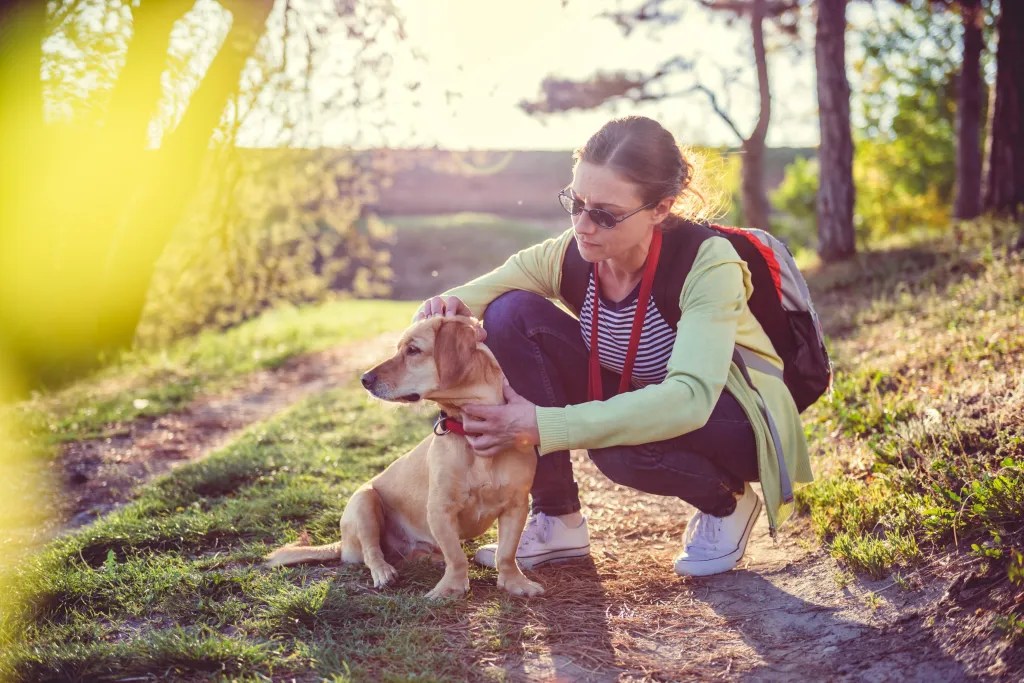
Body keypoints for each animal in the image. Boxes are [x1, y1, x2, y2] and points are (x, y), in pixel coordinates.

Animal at [266, 313, 544, 598]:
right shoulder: (439, 510)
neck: (468, 430)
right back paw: (383, 572)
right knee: (372, 552)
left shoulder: (516, 506)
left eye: (413, 350)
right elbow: (457, 557)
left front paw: (515, 582)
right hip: (364, 502)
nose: (364, 379)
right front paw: (450, 588)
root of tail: (342, 543)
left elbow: (506, 553)